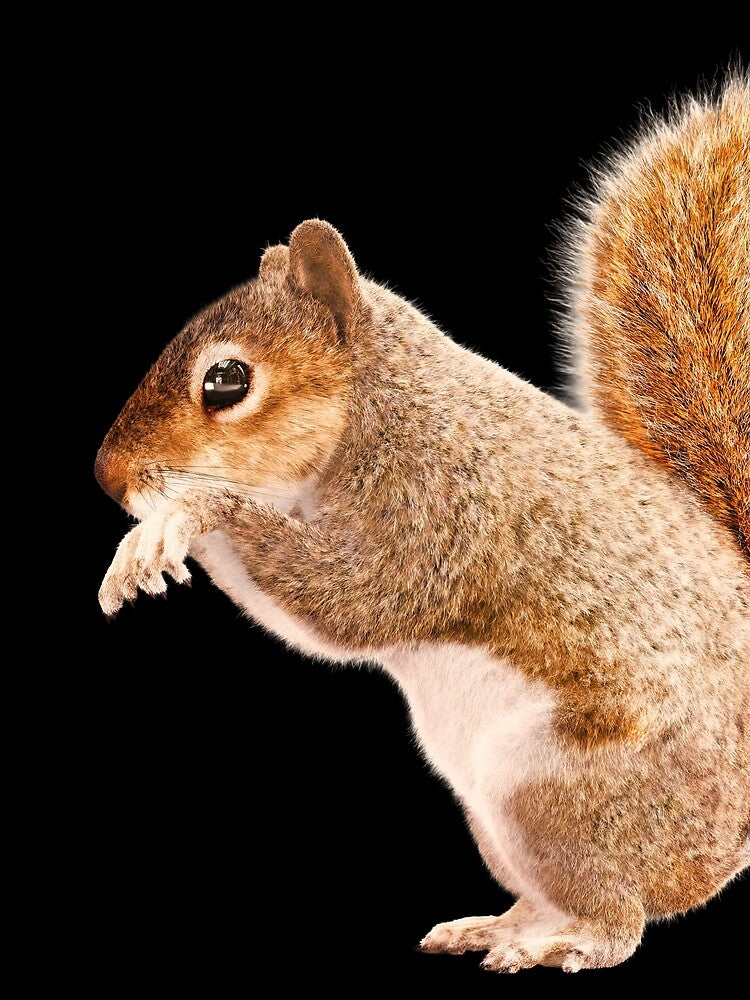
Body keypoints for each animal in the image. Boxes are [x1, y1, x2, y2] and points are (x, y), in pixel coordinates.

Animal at [96, 77, 749, 973]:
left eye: (226, 380)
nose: (108, 476)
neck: (386, 408)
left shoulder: (437, 515)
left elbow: (350, 603)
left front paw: (180, 518)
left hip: (566, 794)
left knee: (619, 920)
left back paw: (561, 945)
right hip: (498, 820)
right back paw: (499, 925)